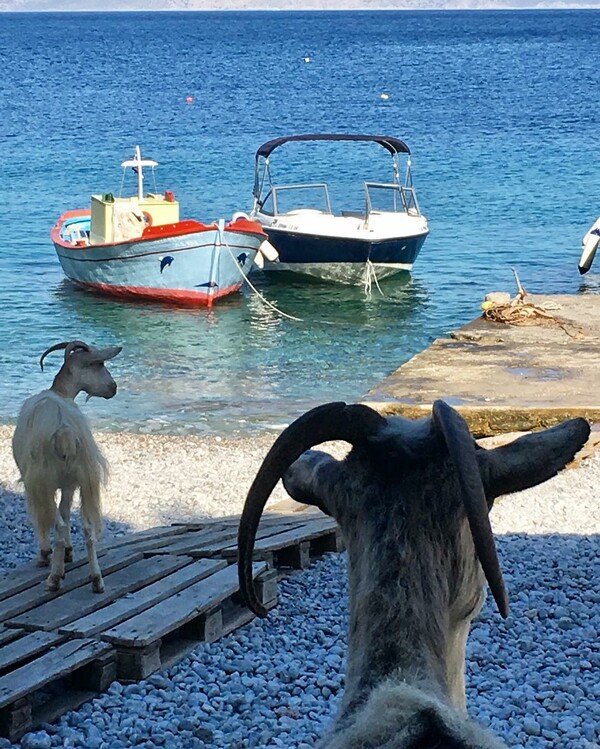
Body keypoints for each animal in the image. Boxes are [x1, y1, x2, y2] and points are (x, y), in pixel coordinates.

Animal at [13, 342, 122, 592]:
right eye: (99, 363)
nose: (113, 388)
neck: (60, 392)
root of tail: (64, 430)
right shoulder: (69, 485)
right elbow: (66, 510)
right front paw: (68, 554)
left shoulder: (35, 483)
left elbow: (44, 518)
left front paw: (46, 555)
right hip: (84, 477)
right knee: (87, 528)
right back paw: (96, 580)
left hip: (44, 479)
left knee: (59, 526)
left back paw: (54, 578)